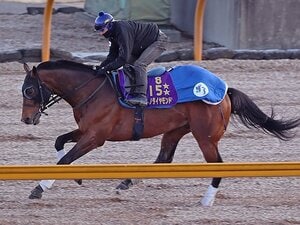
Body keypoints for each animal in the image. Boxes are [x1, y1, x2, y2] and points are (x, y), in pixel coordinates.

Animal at [21, 59, 300, 206]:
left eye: (30, 90)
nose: (26, 119)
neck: (93, 90)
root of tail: (225, 90)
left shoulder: (95, 137)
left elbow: (66, 158)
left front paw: (40, 188)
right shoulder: (85, 131)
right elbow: (60, 143)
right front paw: (77, 177)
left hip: (205, 136)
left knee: (217, 164)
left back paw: (207, 200)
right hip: (176, 130)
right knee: (164, 158)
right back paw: (127, 181)